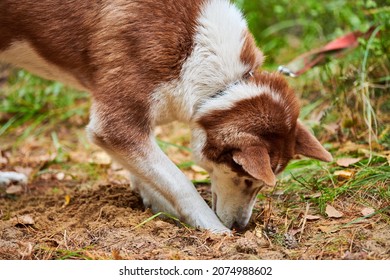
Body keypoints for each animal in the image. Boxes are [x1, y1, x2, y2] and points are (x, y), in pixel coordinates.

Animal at [0, 0, 332, 233]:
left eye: (258, 184)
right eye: (246, 178)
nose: (240, 227)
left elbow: (150, 172)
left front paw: (155, 203)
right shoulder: (114, 124)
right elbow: (179, 182)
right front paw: (213, 229)